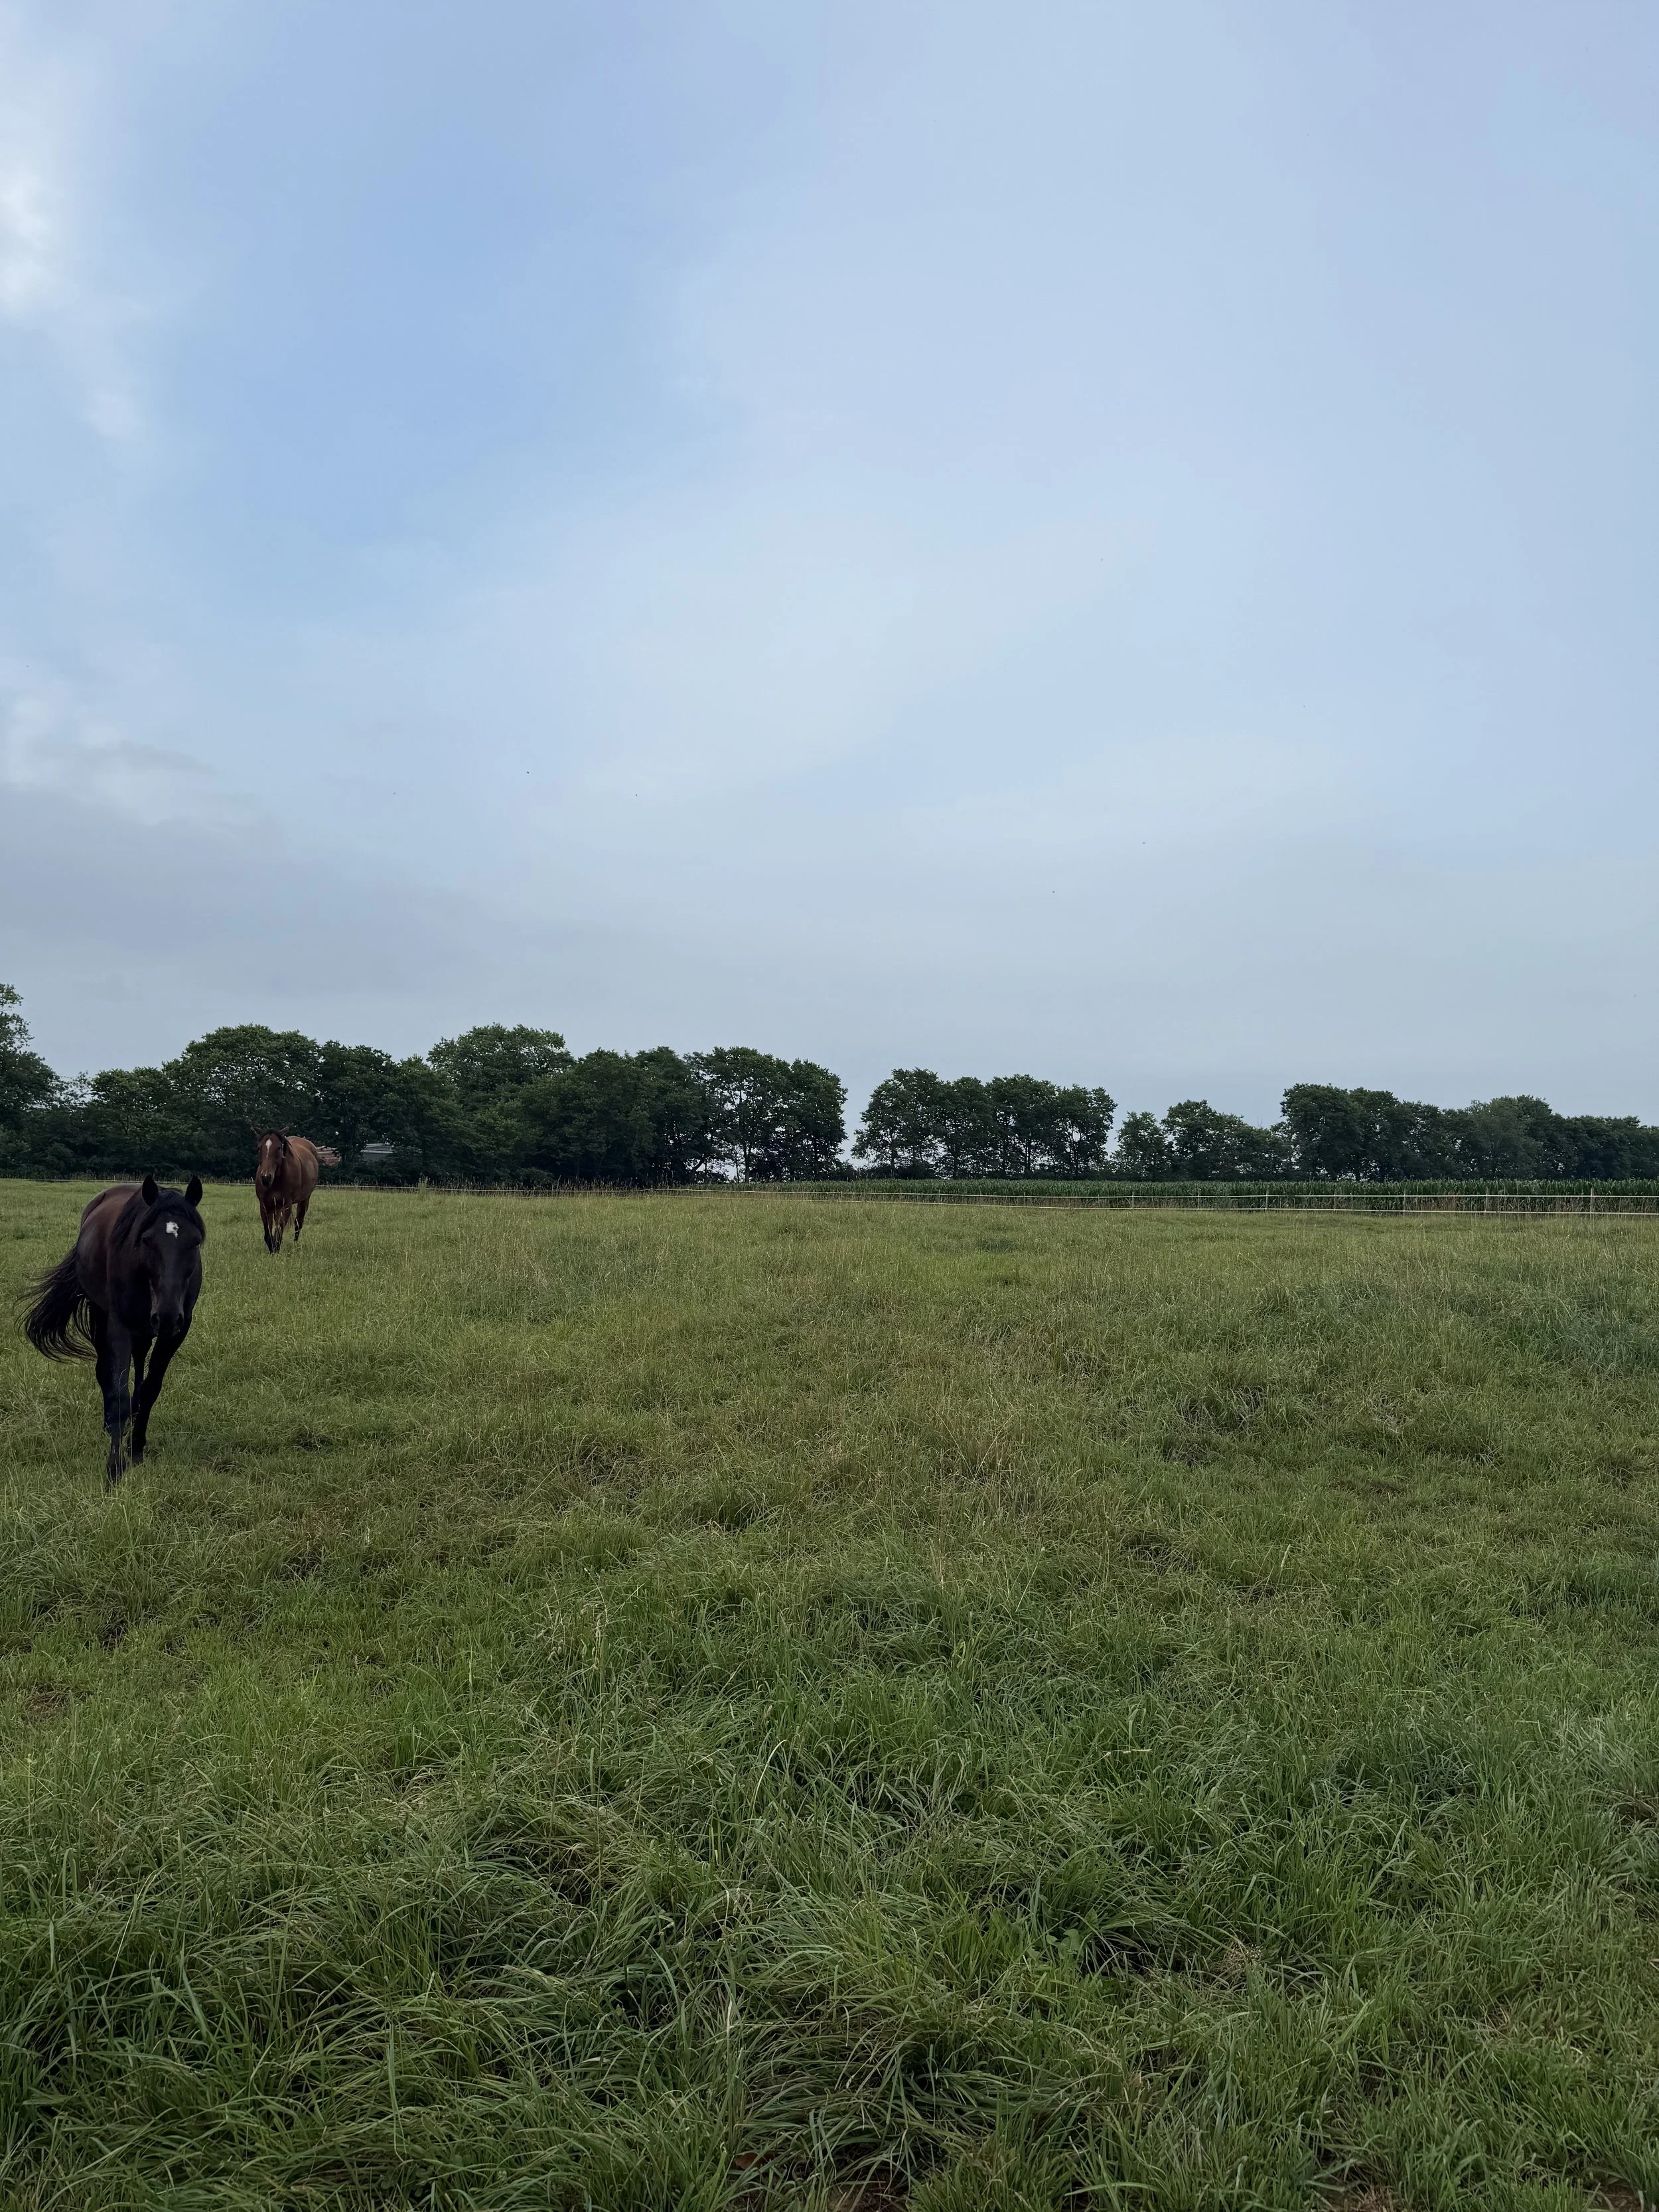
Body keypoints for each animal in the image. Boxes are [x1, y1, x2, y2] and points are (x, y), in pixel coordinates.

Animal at [22, 1176, 205, 1486]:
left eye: (194, 1242)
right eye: (146, 1240)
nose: (168, 1315)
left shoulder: (177, 1331)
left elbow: (151, 1388)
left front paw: (137, 1448)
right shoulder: (119, 1325)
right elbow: (118, 1392)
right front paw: (114, 1469)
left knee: (140, 1368)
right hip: (101, 1314)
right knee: (104, 1371)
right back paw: (112, 1423)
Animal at [254, 1133, 340, 1252]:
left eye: (279, 1148)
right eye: (259, 1148)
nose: (266, 1177)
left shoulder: (286, 1205)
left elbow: (279, 1231)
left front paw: (276, 1250)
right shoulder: (264, 1205)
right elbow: (268, 1233)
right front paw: (272, 1249)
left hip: (305, 1199)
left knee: (298, 1223)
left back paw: (295, 1245)